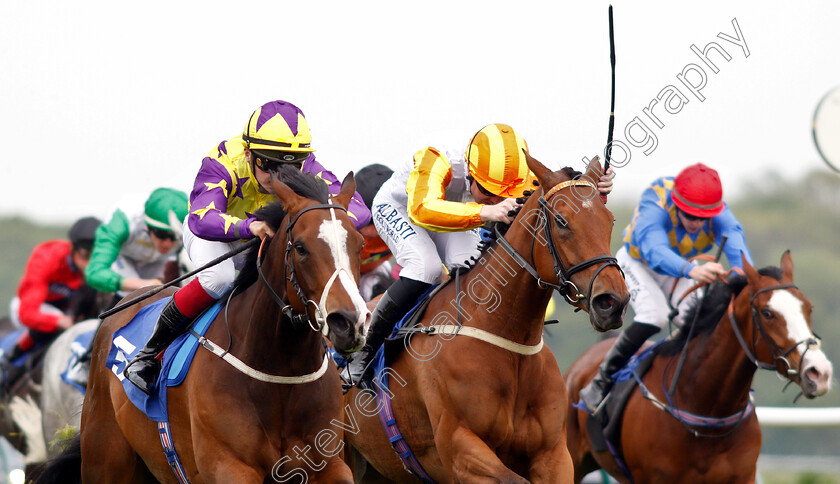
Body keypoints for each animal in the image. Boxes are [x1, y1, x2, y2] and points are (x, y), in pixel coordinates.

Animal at [37, 169, 370, 480]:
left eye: (359, 243)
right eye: (300, 247)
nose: (348, 322)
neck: (280, 372)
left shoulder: (330, 464)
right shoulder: (228, 466)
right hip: (105, 459)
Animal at [344, 153, 628, 482]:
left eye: (610, 221)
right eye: (562, 221)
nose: (613, 302)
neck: (505, 334)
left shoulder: (554, 454)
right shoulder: (461, 449)